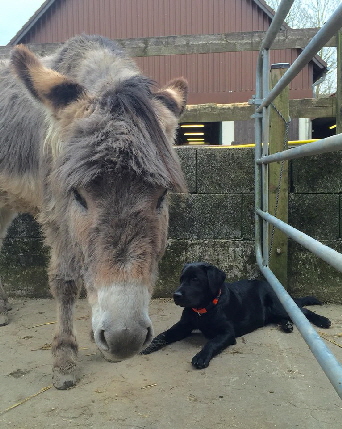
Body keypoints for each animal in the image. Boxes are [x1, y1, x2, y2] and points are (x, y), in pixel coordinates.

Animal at [140, 260, 330, 368]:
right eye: (181, 279)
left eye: (195, 279)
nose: (176, 295)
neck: (204, 309)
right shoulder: (183, 325)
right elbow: (165, 334)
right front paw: (149, 344)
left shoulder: (227, 332)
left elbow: (212, 342)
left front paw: (201, 356)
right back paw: (287, 325)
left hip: (278, 305)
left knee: (301, 310)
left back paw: (322, 320)